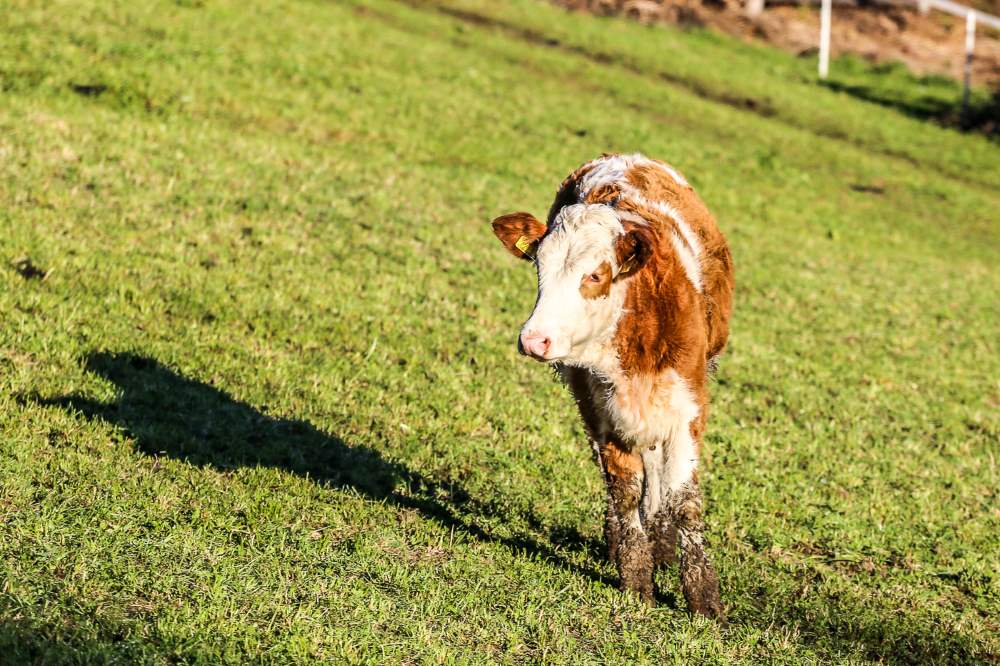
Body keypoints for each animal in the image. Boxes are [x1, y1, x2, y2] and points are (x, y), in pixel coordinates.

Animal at [492, 152, 736, 616]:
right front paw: (636, 577)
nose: (534, 339)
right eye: (539, 269)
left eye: (595, 275)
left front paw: (704, 599)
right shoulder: (602, 411)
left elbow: (685, 500)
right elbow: (623, 489)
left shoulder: (688, 409)